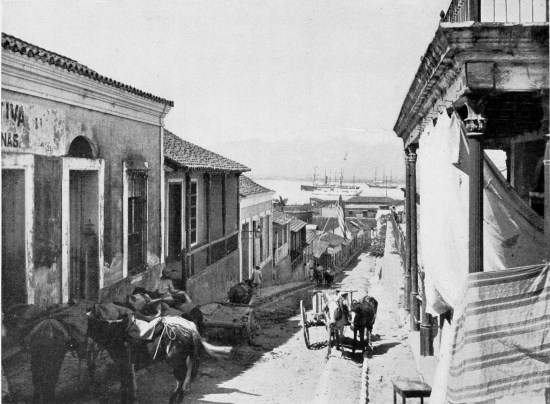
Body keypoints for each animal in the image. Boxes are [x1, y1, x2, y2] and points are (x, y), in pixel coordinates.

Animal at [88, 304, 231, 404]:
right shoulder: (128, 364)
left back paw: (173, 399)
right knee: (184, 380)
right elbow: (129, 383)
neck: (114, 329)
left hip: (176, 361)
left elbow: (125, 385)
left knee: (180, 380)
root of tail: (191, 330)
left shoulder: (123, 363)